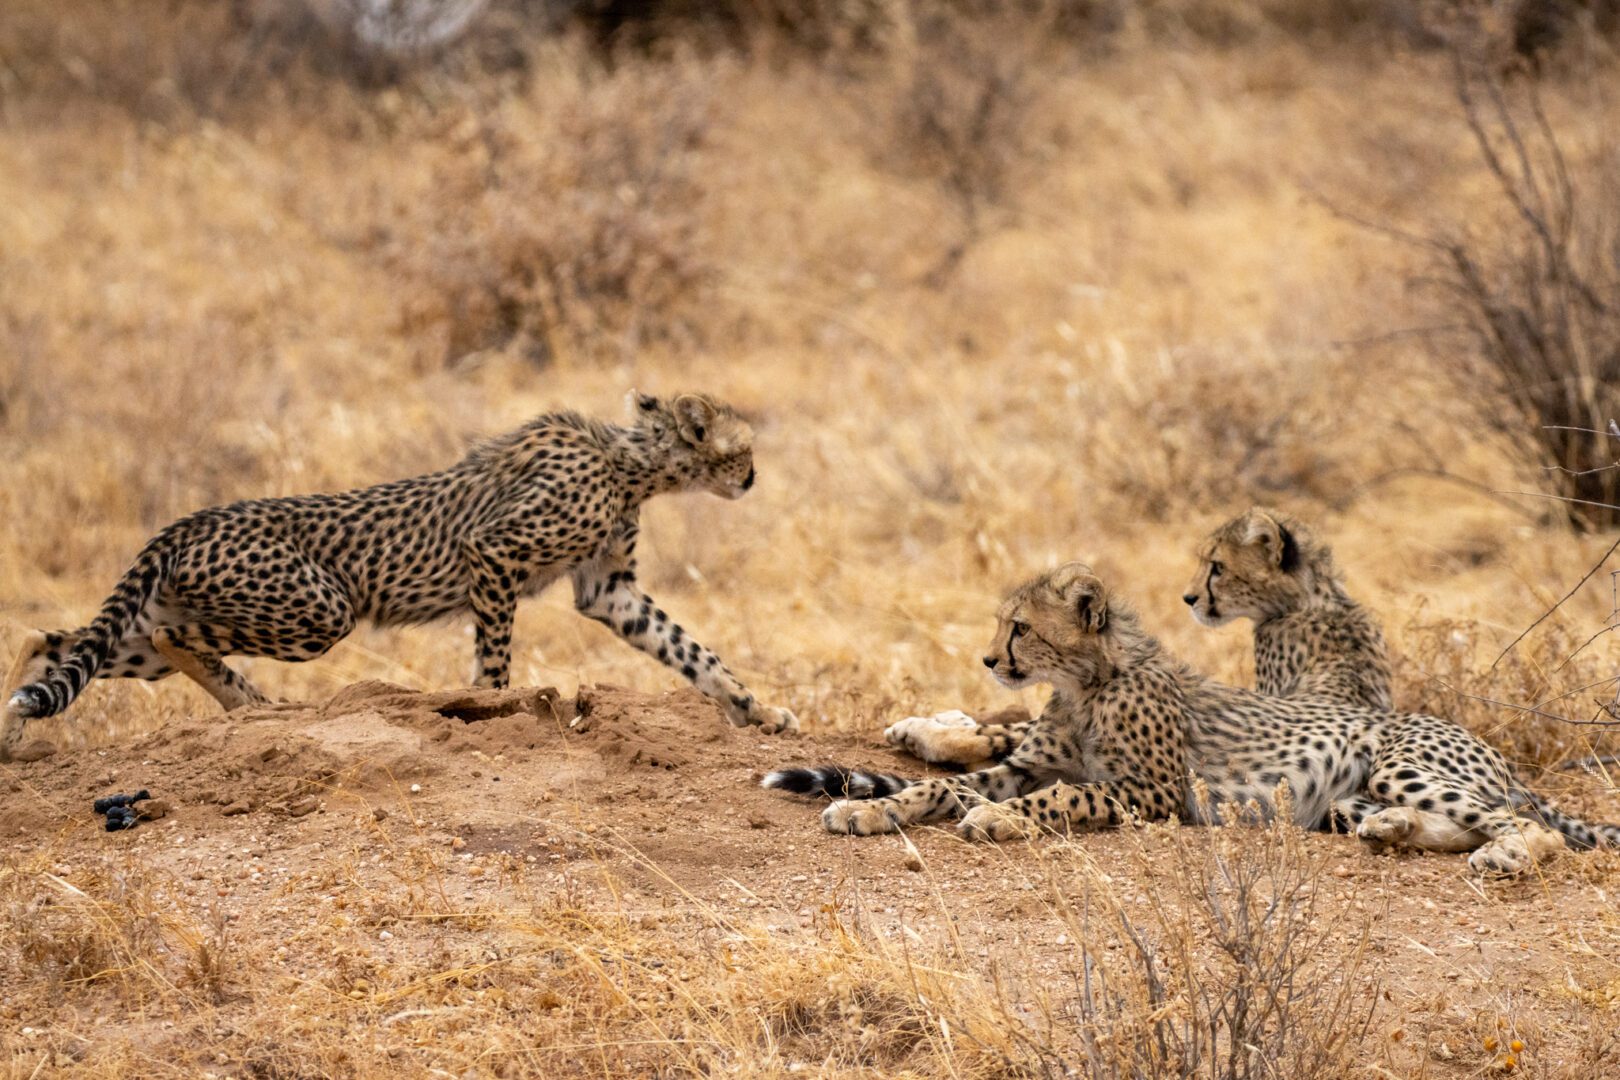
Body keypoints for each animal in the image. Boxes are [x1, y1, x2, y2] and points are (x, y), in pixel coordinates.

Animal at [3, 390, 800, 761]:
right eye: (739, 450)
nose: (753, 479)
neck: (631, 462)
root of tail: (185, 521)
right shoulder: (493, 553)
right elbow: (495, 659)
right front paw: (495, 711)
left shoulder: (610, 590)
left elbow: (690, 649)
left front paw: (756, 709)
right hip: (317, 610)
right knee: (173, 640)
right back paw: (257, 705)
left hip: (165, 621)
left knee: (54, 643)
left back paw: (14, 734)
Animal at [761, 563, 1620, 874]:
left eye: (1021, 628)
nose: (989, 660)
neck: (1088, 682)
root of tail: (1497, 753)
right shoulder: (1022, 763)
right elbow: (947, 786)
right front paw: (871, 809)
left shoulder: (1152, 795)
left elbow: (1062, 794)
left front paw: (1001, 822)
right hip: (1344, 797)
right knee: (1451, 820)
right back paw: (1394, 831)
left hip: (1396, 760)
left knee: (1518, 823)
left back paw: (1506, 855)